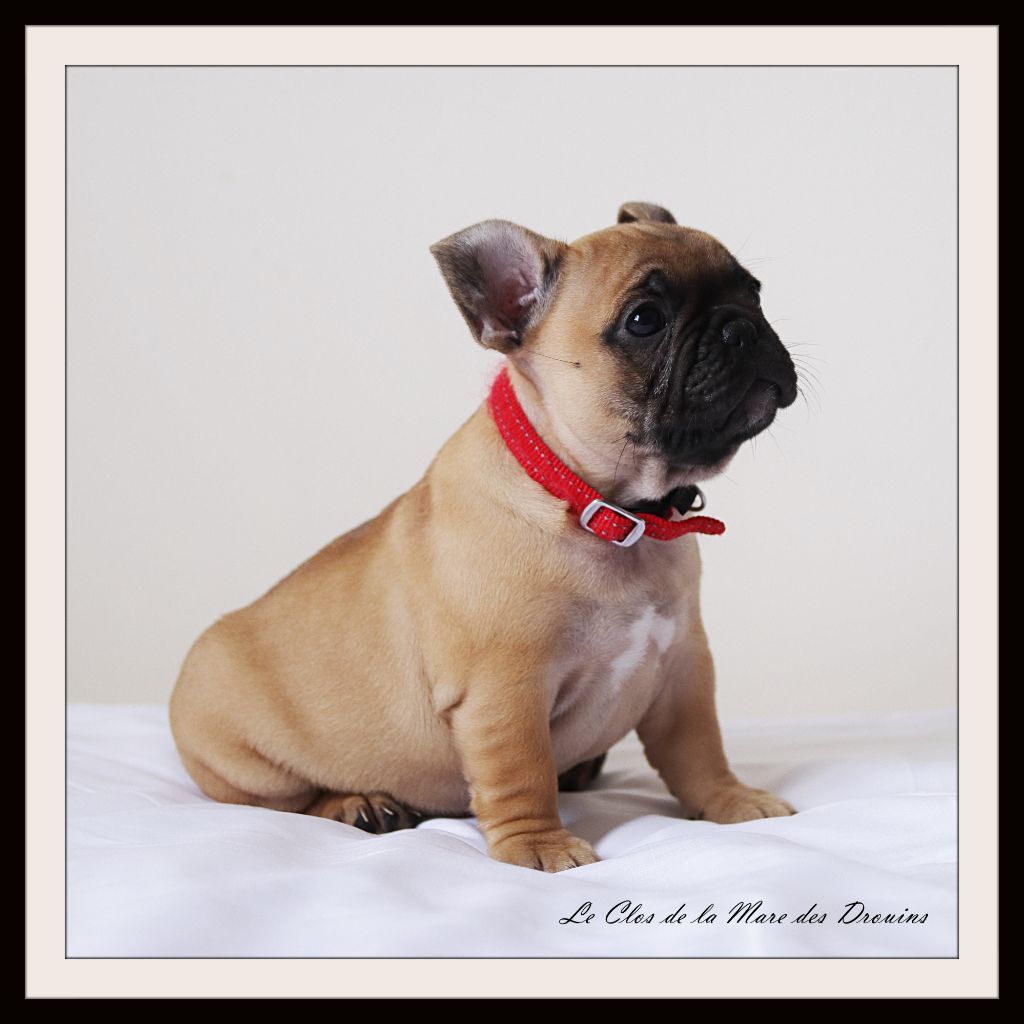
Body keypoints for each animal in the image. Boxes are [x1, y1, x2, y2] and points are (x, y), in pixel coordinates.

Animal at [170, 201, 800, 872]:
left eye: (753, 293)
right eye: (644, 320)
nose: (740, 327)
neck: (604, 506)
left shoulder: (682, 668)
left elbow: (700, 748)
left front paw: (733, 800)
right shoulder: (504, 690)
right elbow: (523, 772)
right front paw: (540, 846)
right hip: (239, 760)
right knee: (288, 800)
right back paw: (358, 804)